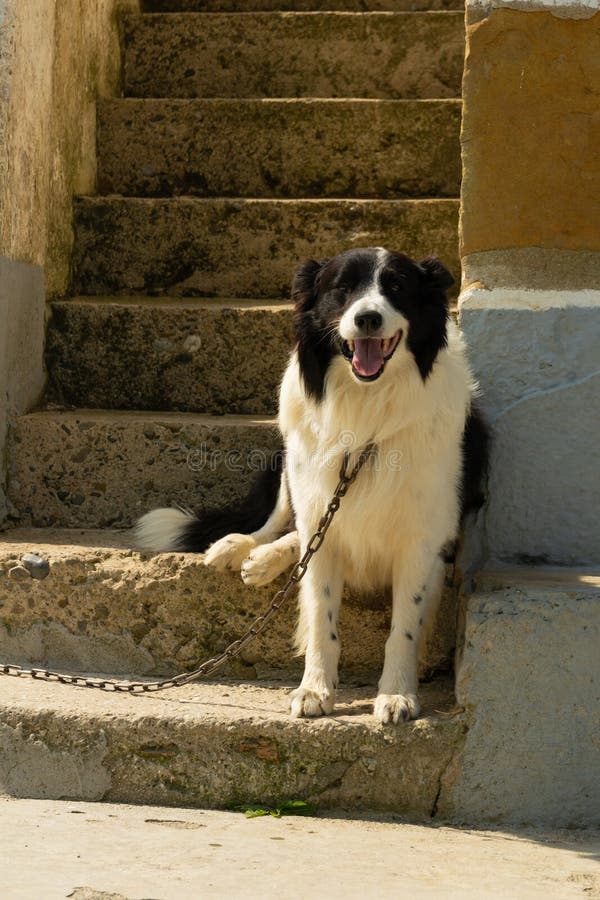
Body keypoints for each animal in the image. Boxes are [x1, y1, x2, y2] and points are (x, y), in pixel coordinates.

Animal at [136, 250, 488, 728]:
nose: (367, 318)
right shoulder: (324, 519)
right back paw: (241, 548)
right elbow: (322, 616)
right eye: (342, 289)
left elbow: (403, 628)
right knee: (285, 523)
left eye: (396, 287)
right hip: (292, 461)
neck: (367, 404)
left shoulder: (422, 540)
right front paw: (315, 689)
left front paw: (396, 695)